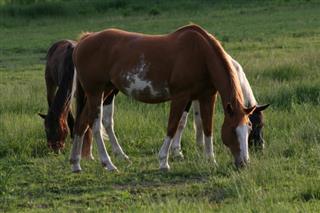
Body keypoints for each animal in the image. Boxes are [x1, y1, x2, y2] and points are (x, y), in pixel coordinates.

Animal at [69, 24, 255, 172]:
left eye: (249, 129)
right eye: (233, 130)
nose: (244, 163)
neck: (200, 54)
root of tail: (85, 40)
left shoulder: (207, 97)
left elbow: (207, 128)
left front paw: (211, 160)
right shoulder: (181, 96)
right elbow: (172, 126)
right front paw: (163, 161)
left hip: (105, 91)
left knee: (82, 123)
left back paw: (76, 164)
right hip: (95, 92)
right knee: (95, 125)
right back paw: (108, 163)